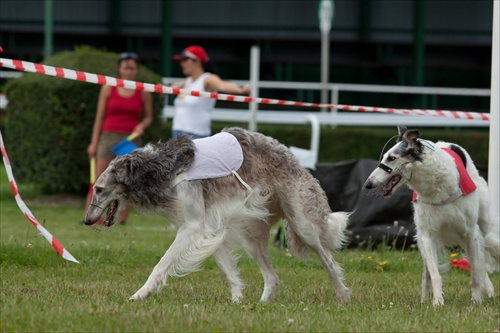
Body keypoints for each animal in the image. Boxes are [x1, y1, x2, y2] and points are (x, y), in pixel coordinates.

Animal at [85, 126, 352, 302]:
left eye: (99, 189)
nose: (86, 221)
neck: (160, 169)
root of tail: (293, 158)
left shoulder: (192, 227)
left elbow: (160, 266)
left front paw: (141, 293)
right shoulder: (211, 227)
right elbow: (229, 272)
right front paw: (237, 302)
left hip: (302, 223)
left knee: (328, 261)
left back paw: (342, 295)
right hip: (252, 236)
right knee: (273, 277)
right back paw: (261, 304)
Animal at [364, 125, 500, 306]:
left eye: (391, 158)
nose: (367, 184)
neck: (437, 188)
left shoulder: (470, 232)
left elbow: (475, 272)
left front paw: (476, 300)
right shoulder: (427, 235)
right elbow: (434, 273)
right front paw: (437, 301)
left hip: (481, 226)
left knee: (481, 256)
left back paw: (488, 289)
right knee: (428, 273)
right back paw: (424, 298)